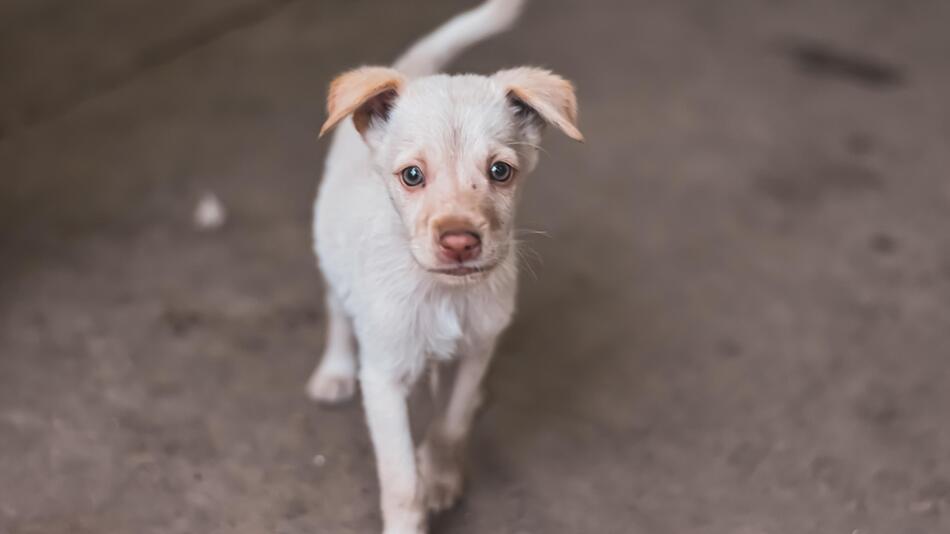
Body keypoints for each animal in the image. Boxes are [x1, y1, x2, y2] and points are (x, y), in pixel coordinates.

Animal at [308, 2, 584, 532]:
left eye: (500, 171)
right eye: (412, 175)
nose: (459, 242)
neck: (443, 293)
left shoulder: (477, 349)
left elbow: (449, 425)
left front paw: (439, 476)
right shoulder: (384, 379)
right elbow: (400, 480)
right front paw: (410, 515)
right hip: (329, 253)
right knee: (335, 311)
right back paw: (333, 371)